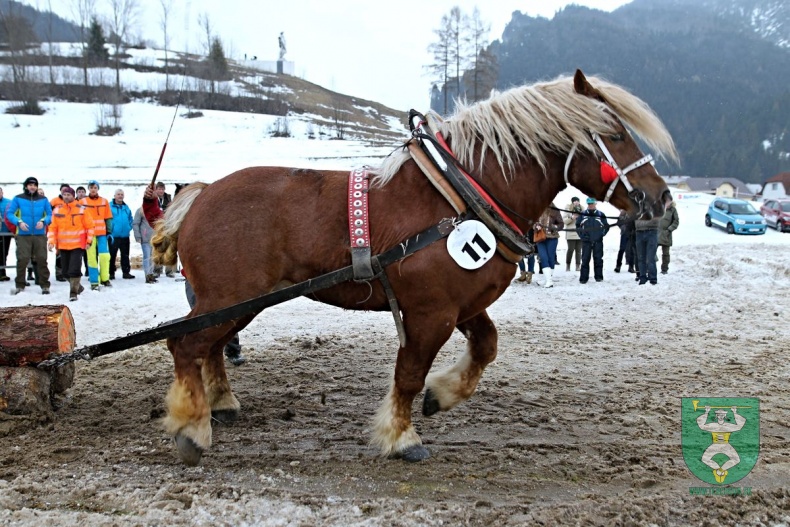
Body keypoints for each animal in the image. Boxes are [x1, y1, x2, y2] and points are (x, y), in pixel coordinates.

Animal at [153, 69, 680, 466]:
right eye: (616, 135)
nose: (660, 200)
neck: (460, 196)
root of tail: (202, 192)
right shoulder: (430, 313)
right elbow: (407, 373)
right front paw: (400, 436)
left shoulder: (465, 305)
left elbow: (486, 347)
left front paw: (441, 394)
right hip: (230, 298)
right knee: (186, 345)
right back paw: (192, 427)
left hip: (239, 303)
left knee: (210, 347)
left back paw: (220, 403)